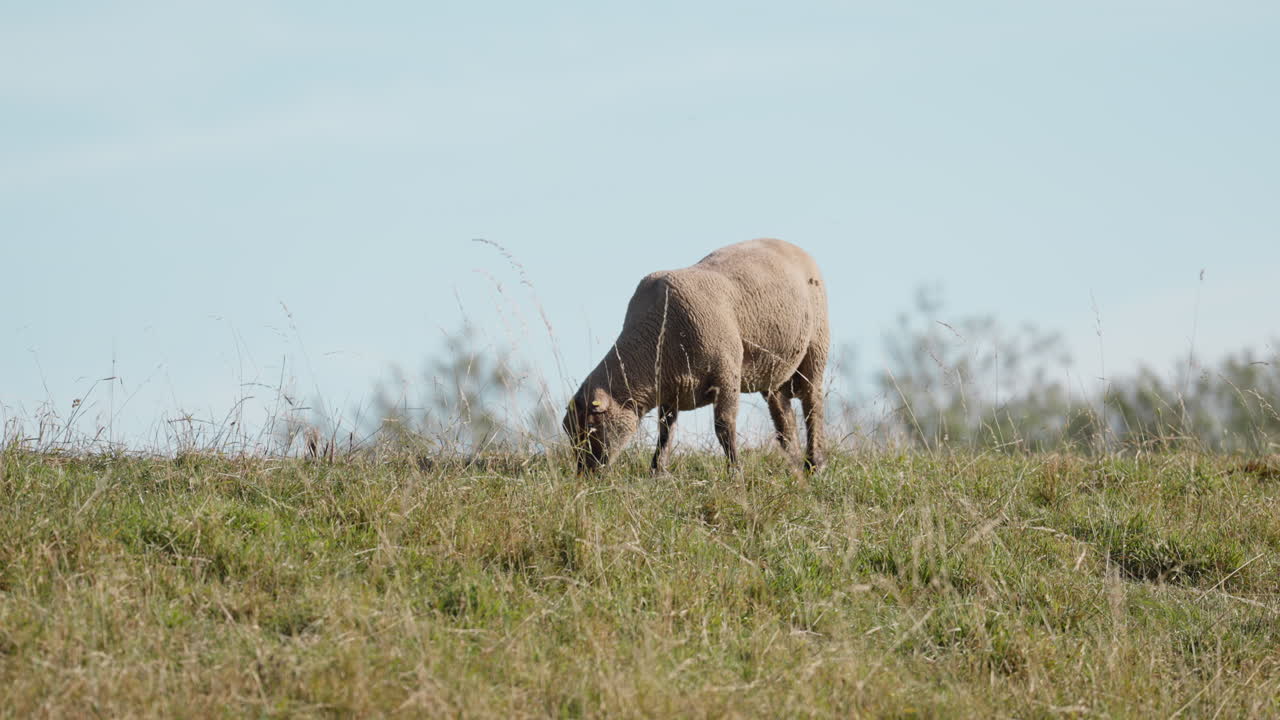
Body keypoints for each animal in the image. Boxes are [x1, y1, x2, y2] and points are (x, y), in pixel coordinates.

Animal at [563, 238, 829, 474]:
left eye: (591, 426)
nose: (586, 474)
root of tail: (792, 246)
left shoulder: (726, 374)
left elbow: (723, 426)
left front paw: (735, 473)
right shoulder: (672, 389)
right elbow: (665, 430)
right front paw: (658, 472)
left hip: (816, 347)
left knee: (812, 404)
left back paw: (814, 464)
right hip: (775, 370)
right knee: (783, 416)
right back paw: (794, 464)